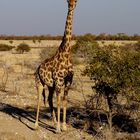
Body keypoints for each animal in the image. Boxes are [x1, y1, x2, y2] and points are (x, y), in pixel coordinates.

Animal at [34, 0, 77, 133]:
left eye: (76, 1)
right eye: (68, 1)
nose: (71, 6)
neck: (66, 54)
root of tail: (37, 68)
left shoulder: (68, 82)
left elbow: (64, 101)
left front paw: (63, 126)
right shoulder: (58, 82)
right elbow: (58, 102)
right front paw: (58, 128)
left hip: (50, 86)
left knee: (48, 99)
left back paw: (53, 122)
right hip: (40, 83)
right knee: (39, 99)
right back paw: (35, 125)